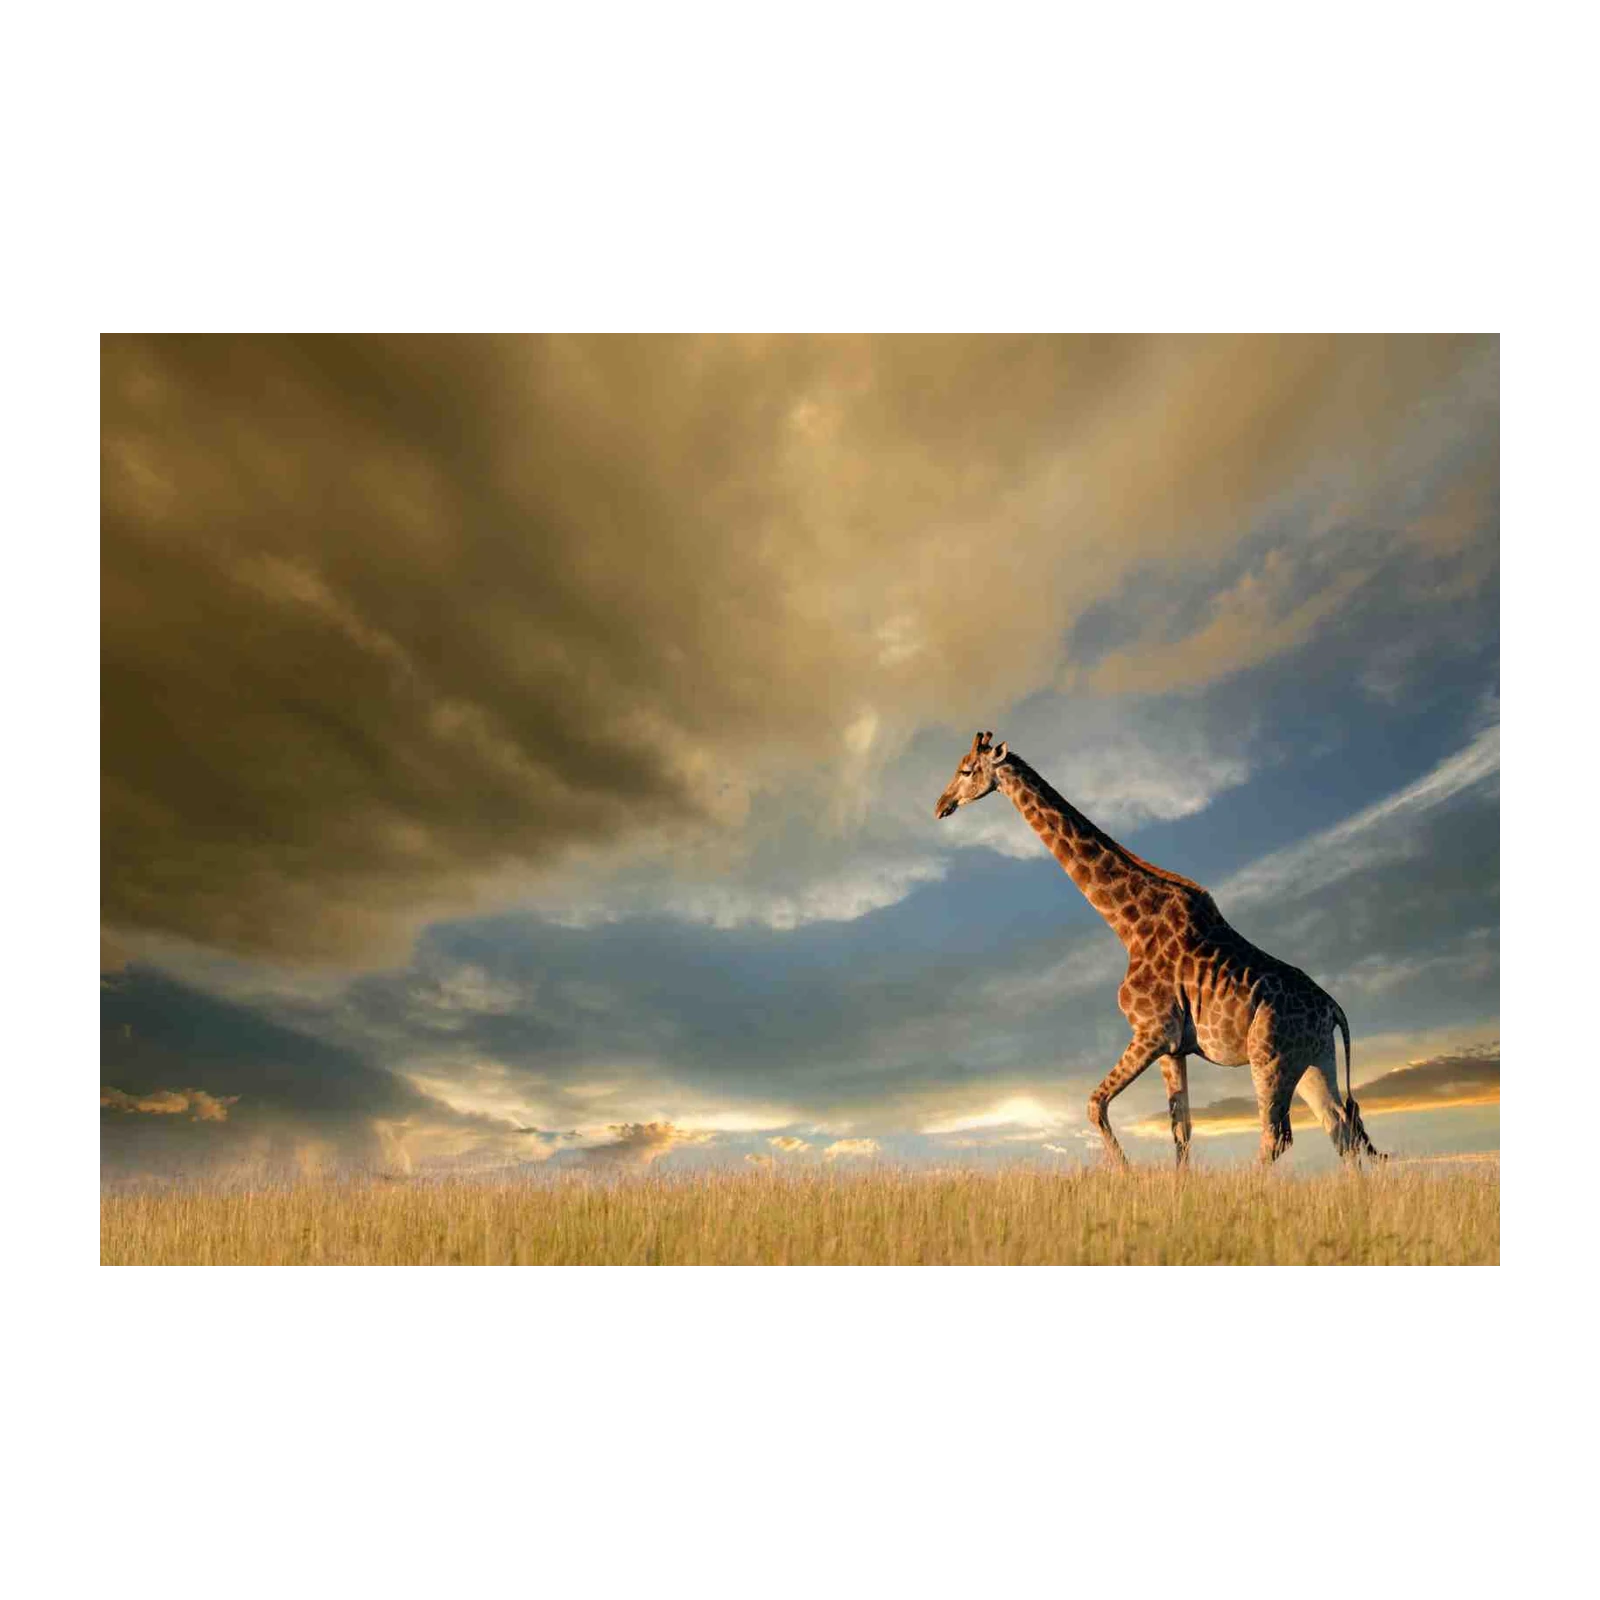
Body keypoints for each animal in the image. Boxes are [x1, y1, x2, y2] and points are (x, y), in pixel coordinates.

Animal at [934, 731, 1384, 1170]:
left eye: (966, 769)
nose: (941, 806)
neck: (1128, 926)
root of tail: (1332, 1008)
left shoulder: (1152, 1030)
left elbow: (1095, 1104)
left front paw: (1128, 1174)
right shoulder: (1173, 1046)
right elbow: (1181, 1129)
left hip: (1270, 1057)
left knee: (1279, 1136)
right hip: (1313, 1059)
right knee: (1340, 1128)